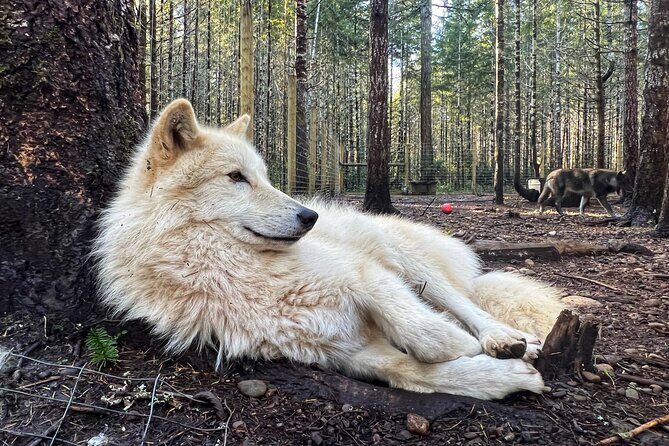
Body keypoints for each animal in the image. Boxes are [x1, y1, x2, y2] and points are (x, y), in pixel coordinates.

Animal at [94, 99, 566, 400]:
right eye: (236, 177)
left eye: (263, 177)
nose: (309, 217)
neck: (230, 269)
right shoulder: (344, 352)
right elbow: (411, 370)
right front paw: (505, 377)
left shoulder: (365, 275)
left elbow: (426, 333)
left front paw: (473, 346)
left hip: (410, 263)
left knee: (468, 304)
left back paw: (508, 338)